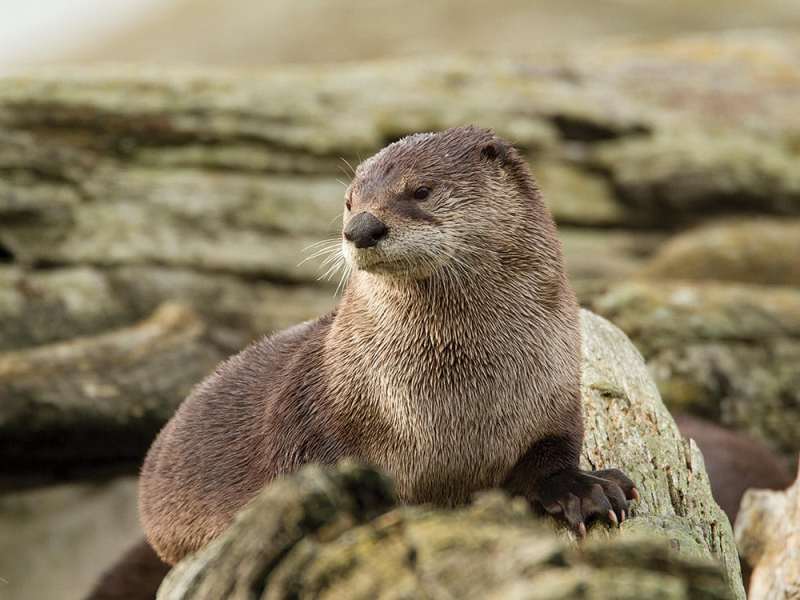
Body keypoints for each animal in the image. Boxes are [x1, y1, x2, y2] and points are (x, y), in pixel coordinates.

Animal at [139, 125, 638, 566]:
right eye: (348, 201)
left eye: (420, 190)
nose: (362, 226)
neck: (457, 408)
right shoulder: (311, 417)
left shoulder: (555, 394)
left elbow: (554, 455)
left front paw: (588, 488)